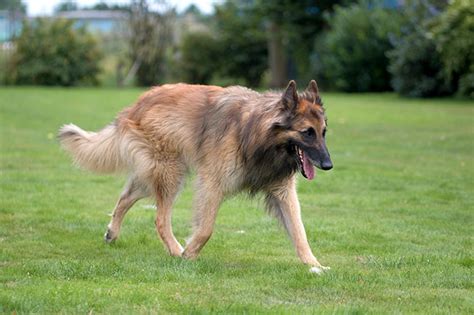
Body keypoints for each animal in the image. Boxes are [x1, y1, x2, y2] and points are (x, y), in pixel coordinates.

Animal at [59, 80, 334, 272]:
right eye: (307, 133)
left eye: (323, 132)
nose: (329, 165)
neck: (258, 134)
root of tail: (136, 105)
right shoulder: (212, 183)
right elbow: (206, 228)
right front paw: (189, 254)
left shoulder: (282, 191)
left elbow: (299, 231)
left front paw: (315, 265)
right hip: (171, 173)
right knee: (160, 219)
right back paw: (174, 250)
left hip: (157, 173)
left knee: (126, 197)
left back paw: (112, 233)